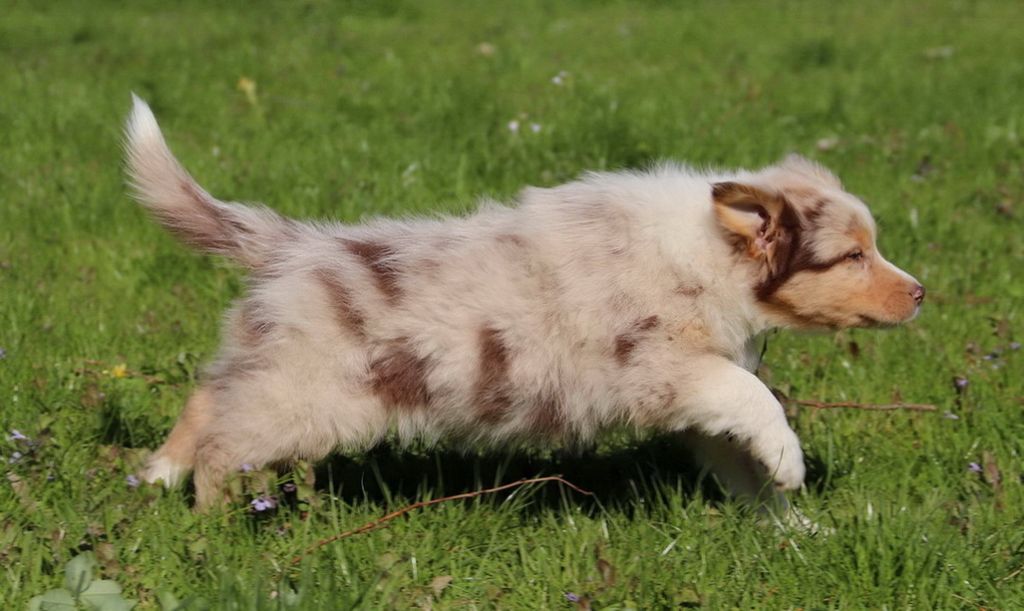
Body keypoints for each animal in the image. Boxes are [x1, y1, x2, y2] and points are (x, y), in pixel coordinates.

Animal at [125, 95, 924, 512]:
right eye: (852, 256)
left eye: (872, 246)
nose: (920, 293)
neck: (704, 251)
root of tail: (293, 244)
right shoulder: (669, 367)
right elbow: (756, 399)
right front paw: (791, 465)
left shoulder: (699, 393)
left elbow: (740, 451)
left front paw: (793, 529)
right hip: (305, 395)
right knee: (225, 437)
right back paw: (217, 516)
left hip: (275, 372)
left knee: (209, 394)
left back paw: (158, 475)